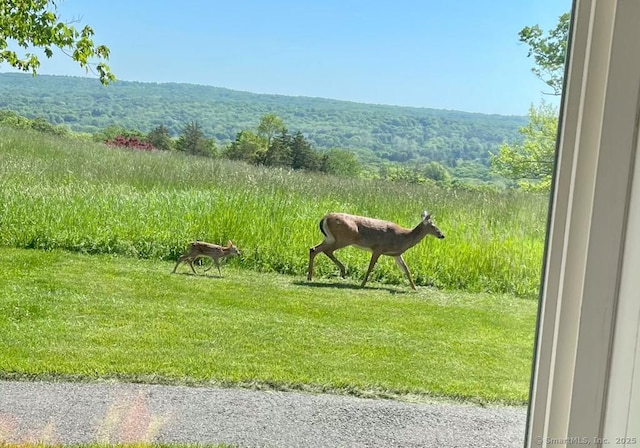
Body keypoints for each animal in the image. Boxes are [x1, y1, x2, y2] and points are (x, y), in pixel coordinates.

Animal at [308, 211, 442, 290]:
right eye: (433, 225)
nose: (442, 235)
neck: (403, 237)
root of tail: (325, 218)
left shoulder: (396, 254)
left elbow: (406, 269)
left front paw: (414, 288)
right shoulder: (378, 248)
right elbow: (370, 267)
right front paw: (362, 284)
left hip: (330, 238)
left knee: (314, 249)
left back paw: (314, 276)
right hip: (342, 239)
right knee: (324, 250)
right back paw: (339, 272)